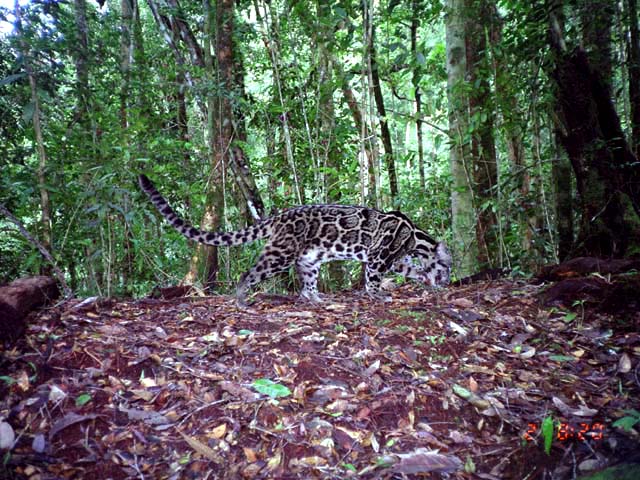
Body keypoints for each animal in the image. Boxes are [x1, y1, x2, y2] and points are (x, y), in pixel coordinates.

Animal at [140, 174, 450, 306]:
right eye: (447, 267)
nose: (448, 280)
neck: (414, 238)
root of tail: (278, 217)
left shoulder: (394, 261)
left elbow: (410, 269)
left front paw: (424, 278)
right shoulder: (378, 258)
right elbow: (372, 280)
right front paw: (378, 295)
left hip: (309, 258)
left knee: (306, 283)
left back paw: (316, 299)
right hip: (281, 253)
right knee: (249, 273)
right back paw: (241, 300)